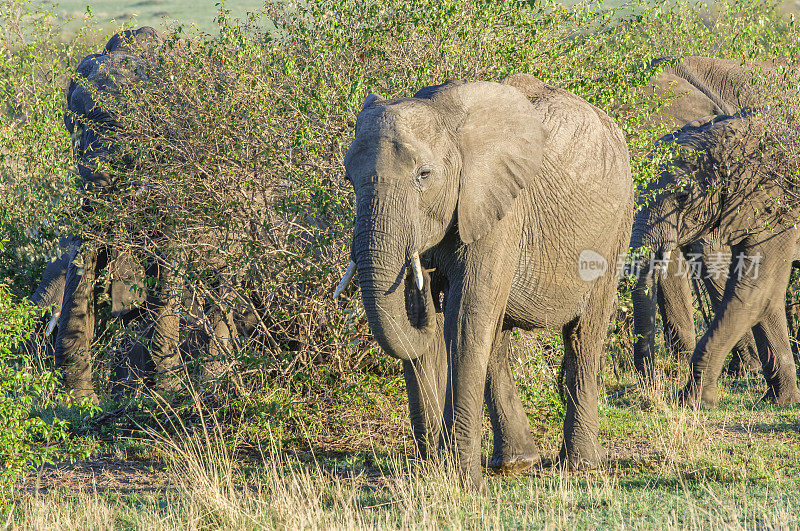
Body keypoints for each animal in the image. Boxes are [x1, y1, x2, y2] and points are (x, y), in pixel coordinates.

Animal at [338, 74, 632, 490]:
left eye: (424, 175)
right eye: (349, 178)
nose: (427, 286)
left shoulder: (500, 211)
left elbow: (463, 322)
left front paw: (462, 483)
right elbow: (423, 333)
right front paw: (438, 473)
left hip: (617, 224)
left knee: (582, 336)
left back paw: (580, 466)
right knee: (496, 340)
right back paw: (516, 463)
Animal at [632, 115, 800, 408]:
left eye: (682, 196)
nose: (650, 394)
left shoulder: (776, 210)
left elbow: (756, 292)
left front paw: (691, 402)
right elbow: (765, 299)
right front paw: (782, 401)